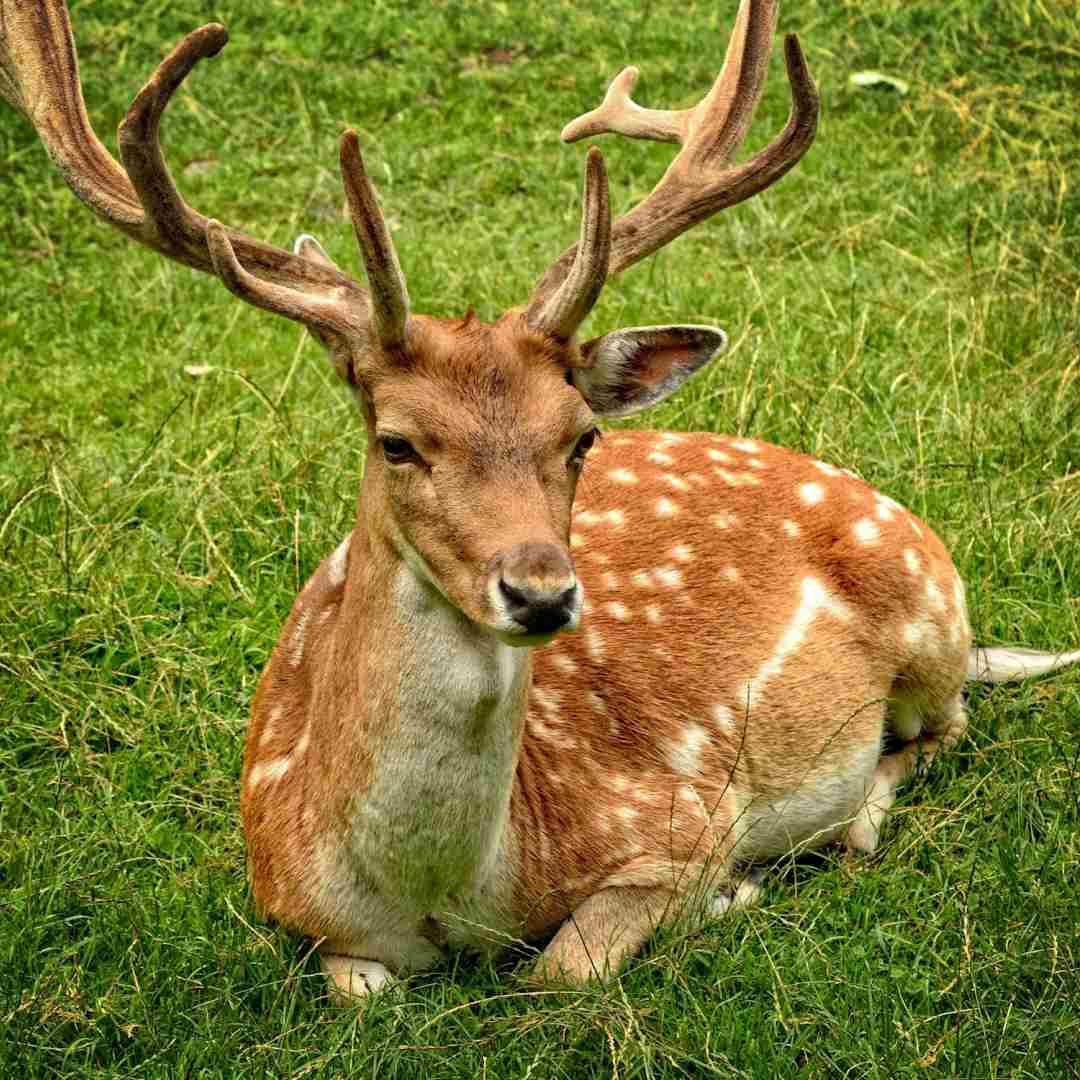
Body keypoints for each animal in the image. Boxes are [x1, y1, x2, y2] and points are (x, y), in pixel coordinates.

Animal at [4, 0, 1075, 993]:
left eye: (581, 436)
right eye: (396, 441)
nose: (542, 592)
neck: (449, 893)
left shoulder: (681, 816)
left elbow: (563, 970)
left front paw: (732, 896)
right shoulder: (295, 906)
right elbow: (362, 993)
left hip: (926, 616)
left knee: (944, 728)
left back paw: (855, 823)